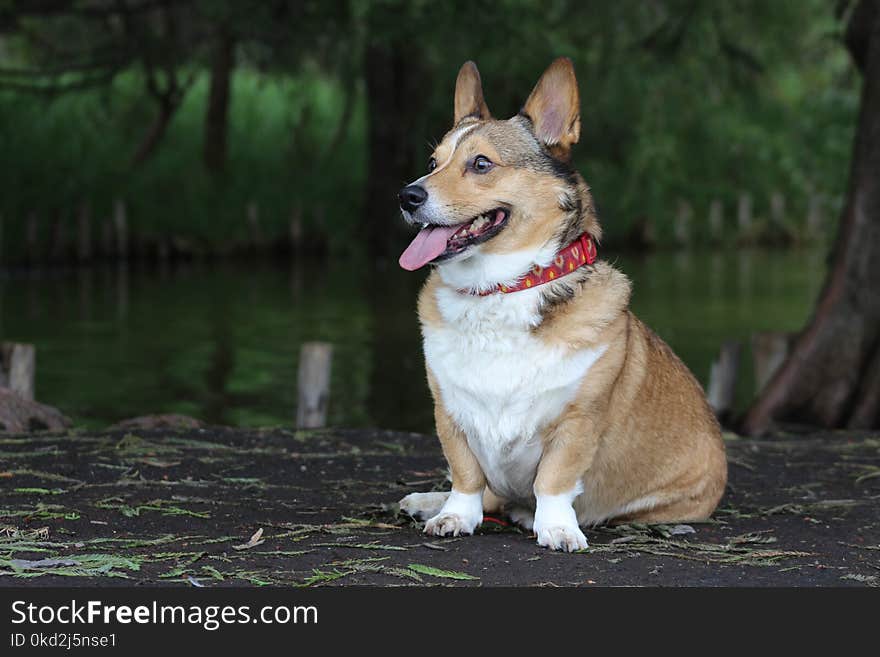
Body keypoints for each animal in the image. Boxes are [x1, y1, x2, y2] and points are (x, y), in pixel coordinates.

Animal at [396, 56, 724, 552]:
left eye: (481, 163)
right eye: (433, 163)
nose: (407, 196)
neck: (501, 289)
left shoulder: (577, 422)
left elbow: (553, 480)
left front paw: (556, 528)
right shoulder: (450, 414)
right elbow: (465, 477)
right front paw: (454, 516)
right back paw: (425, 503)